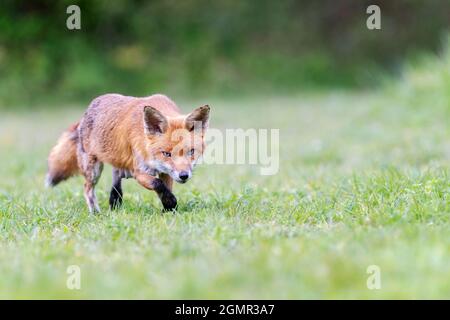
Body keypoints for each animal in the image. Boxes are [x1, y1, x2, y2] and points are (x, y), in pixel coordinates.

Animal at [46, 92, 210, 212]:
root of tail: (85, 112)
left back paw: (115, 204)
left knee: (116, 182)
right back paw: (96, 212)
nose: (184, 176)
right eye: (167, 154)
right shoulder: (140, 172)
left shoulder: (165, 172)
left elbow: (166, 188)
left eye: (191, 152)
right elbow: (158, 184)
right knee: (87, 189)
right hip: (94, 170)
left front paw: (168, 209)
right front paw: (170, 204)